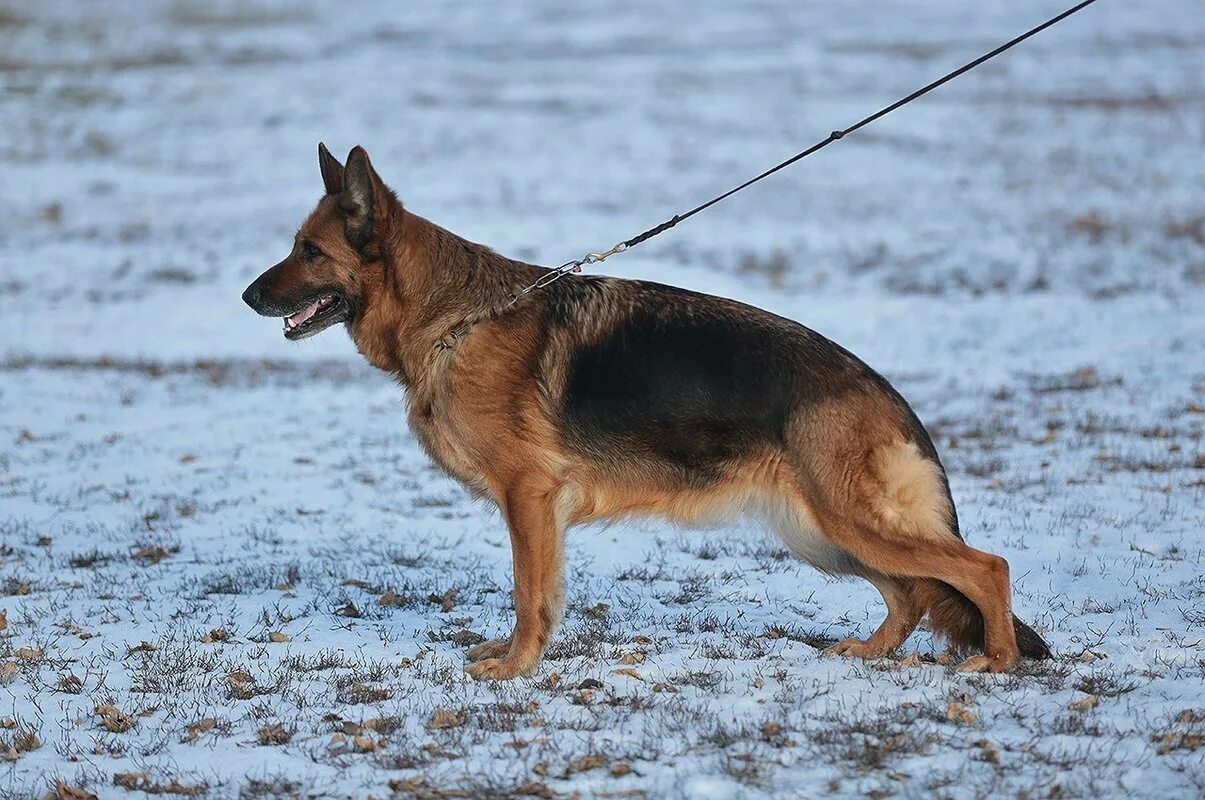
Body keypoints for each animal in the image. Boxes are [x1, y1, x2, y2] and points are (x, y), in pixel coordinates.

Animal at [239, 145, 1050, 679]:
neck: (455, 319)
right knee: (913, 593)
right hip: (821, 532)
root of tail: (885, 393)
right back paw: (873, 652)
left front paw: (517, 667)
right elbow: (542, 593)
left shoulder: (528, 498)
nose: (246, 296)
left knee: (985, 567)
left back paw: (997, 662)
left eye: (309, 251)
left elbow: (528, 594)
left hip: (847, 523)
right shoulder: (537, 509)